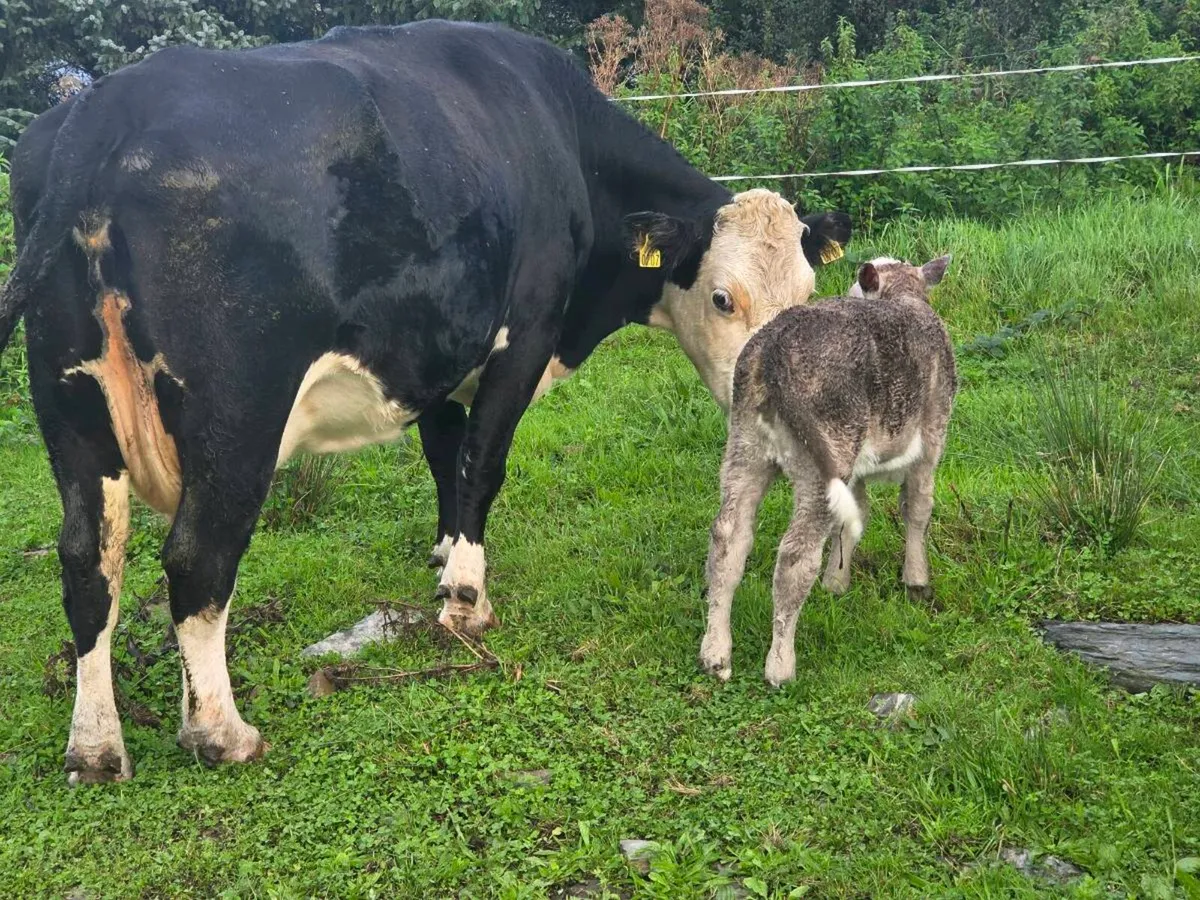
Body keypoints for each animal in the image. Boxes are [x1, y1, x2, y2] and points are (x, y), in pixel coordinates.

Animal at [0, 20, 851, 784]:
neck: (564, 142)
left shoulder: (437, 348)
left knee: (88, 560)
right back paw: (221, 732)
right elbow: (483, 463)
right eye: (722, 297)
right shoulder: (524, 332)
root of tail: (111, 100)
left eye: (810, 290)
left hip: (70, 402)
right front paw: (466, 598)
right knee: (197, 558)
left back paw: (96, 748)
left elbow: (446, 455)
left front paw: (444, 556)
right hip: (236, 414)